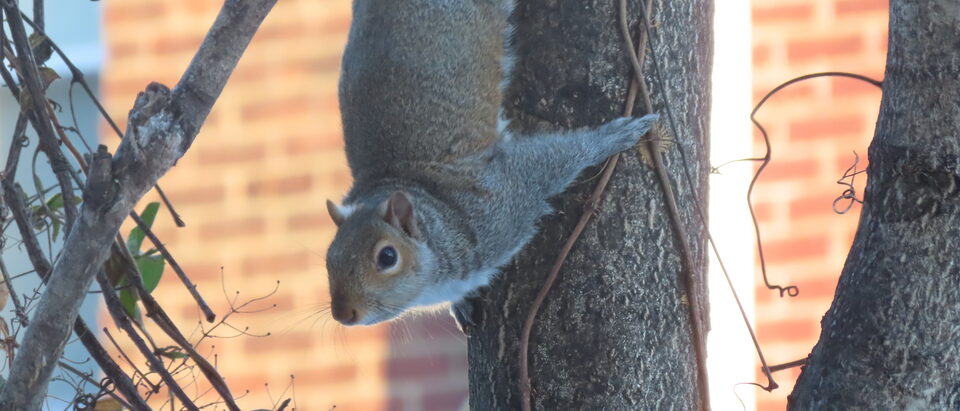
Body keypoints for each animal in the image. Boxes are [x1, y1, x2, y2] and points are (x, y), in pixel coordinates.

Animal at [325, 0, 657, 327]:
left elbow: (549, 163)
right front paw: (459, 306)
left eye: (387, 257)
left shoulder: (500, 203)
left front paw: (613, 136)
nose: (343, 314)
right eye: (329, 258)